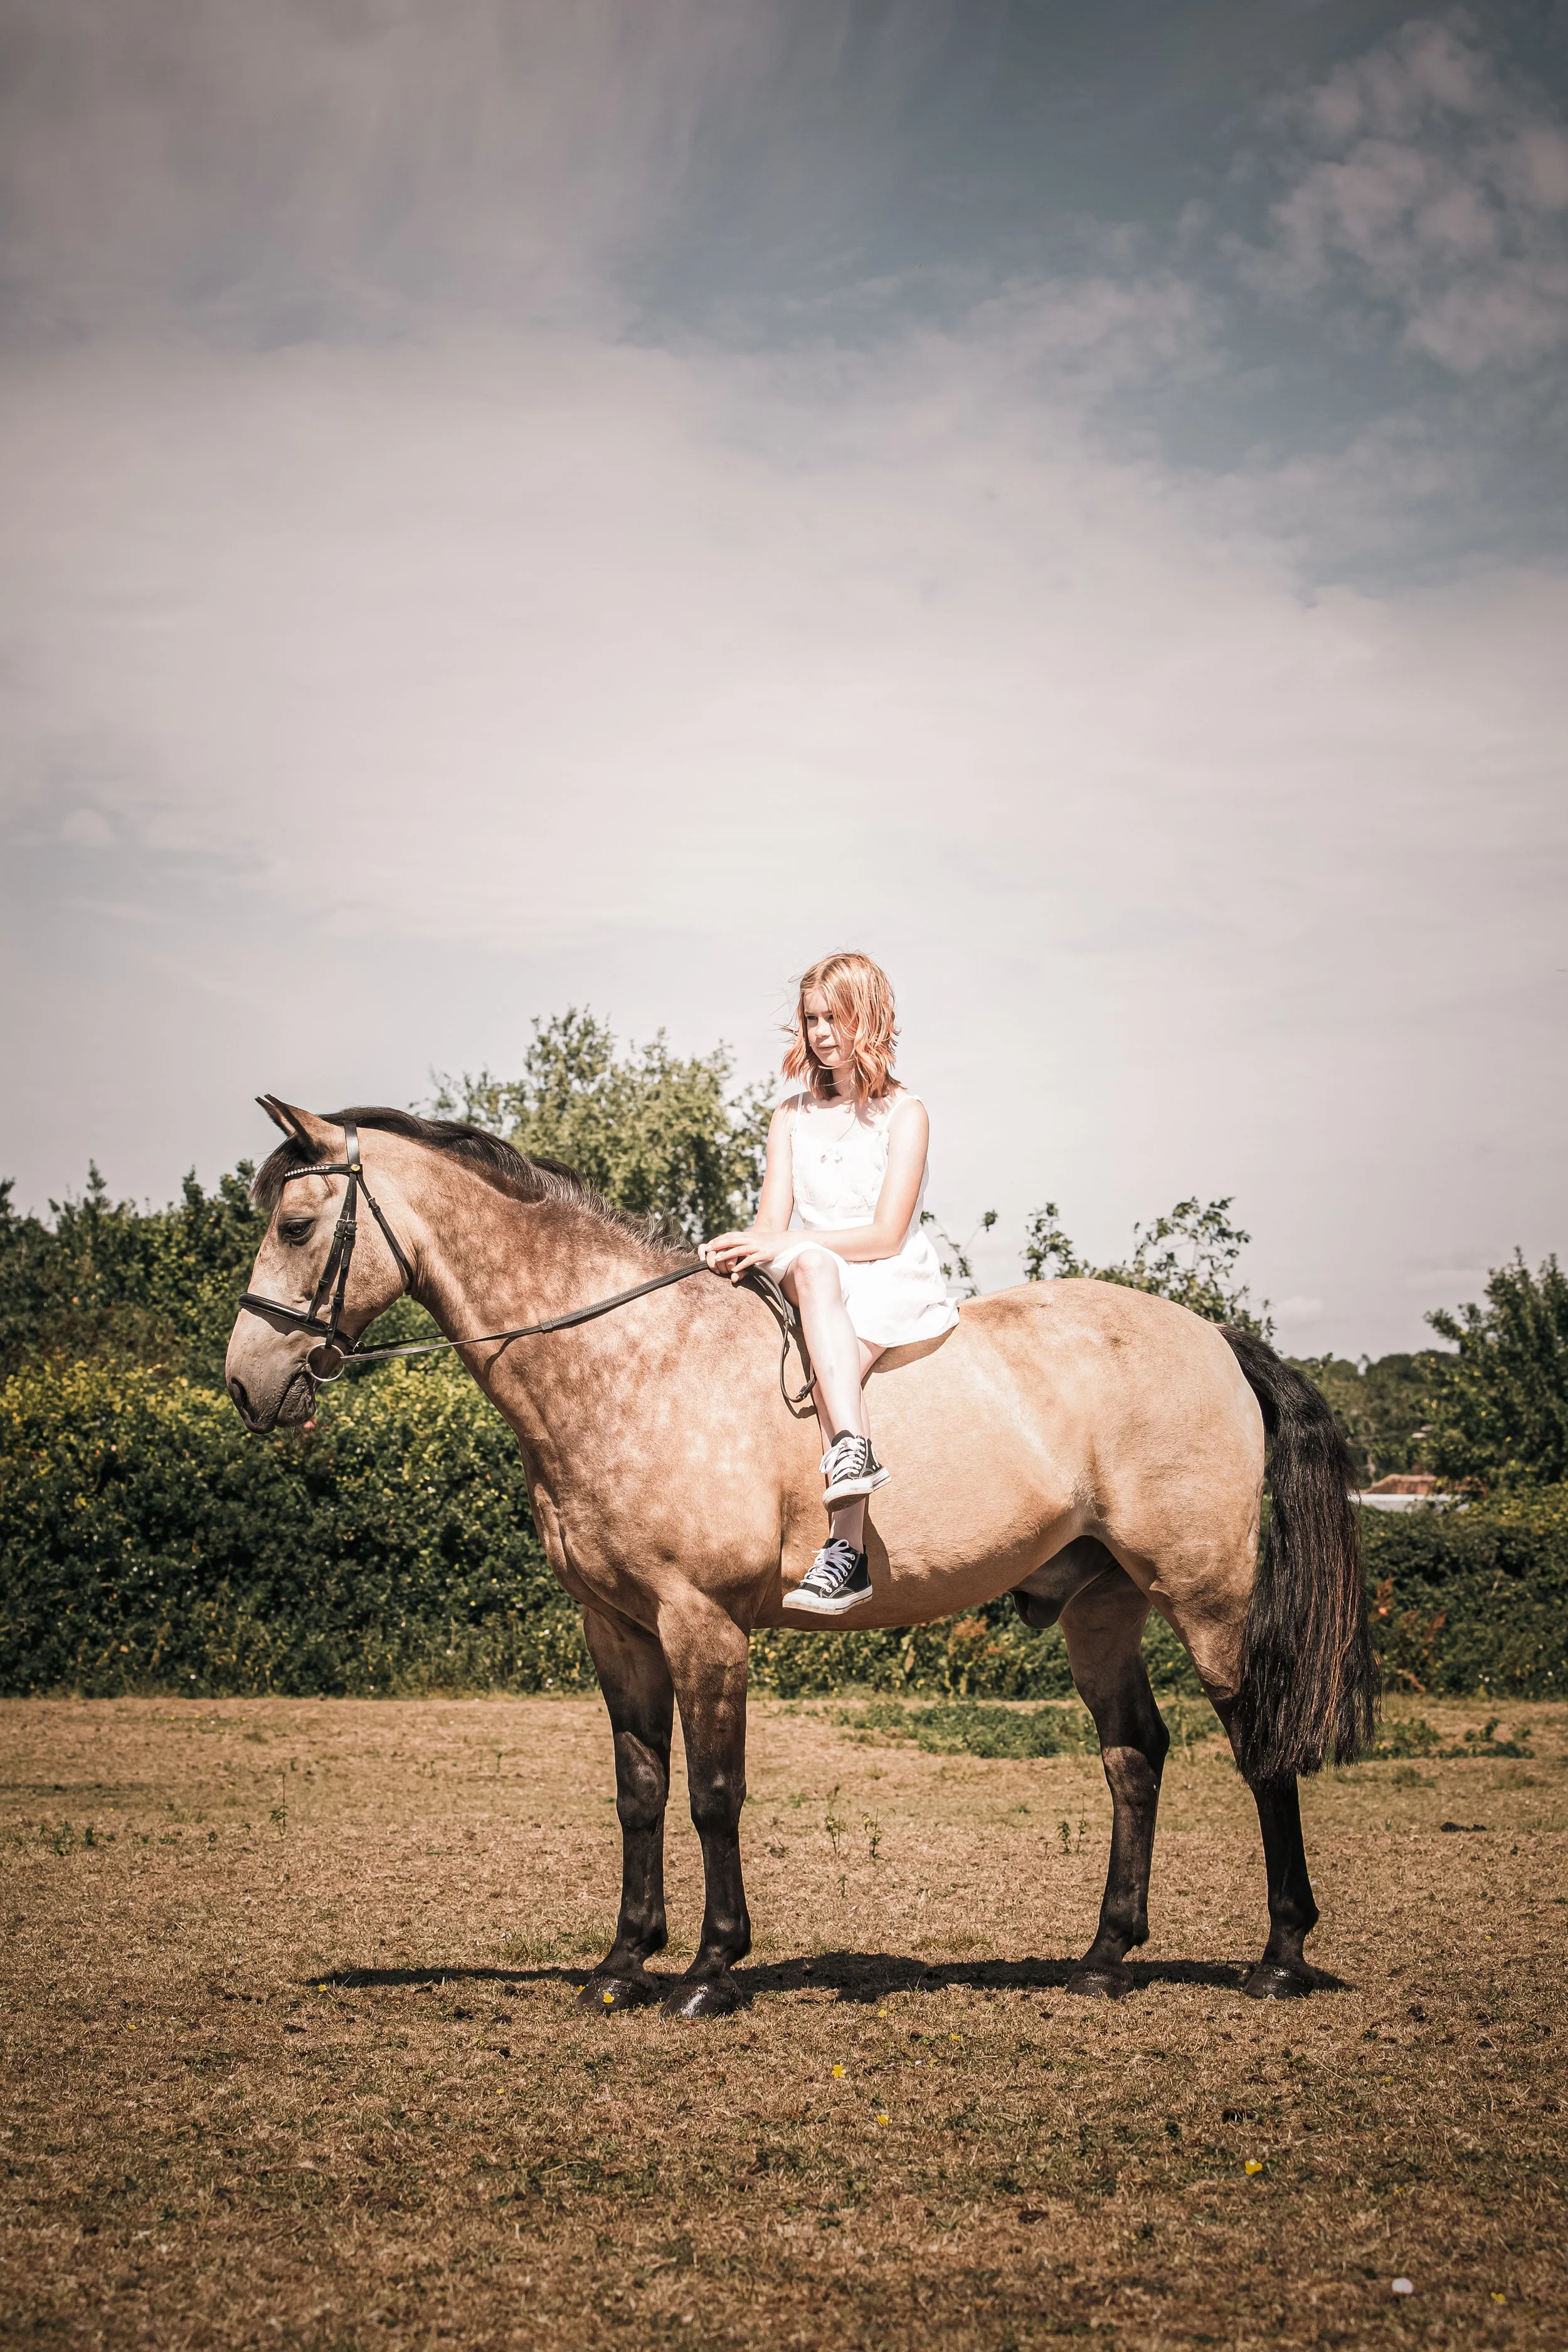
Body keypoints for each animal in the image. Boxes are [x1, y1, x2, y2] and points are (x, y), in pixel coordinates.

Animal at [225, 1099, 1375, 2018]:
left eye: (295, 1224)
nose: (246, 1384)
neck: (629, 1359)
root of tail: (1218, 1339)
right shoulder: (617, 1627)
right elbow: (639, 1791)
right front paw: (619, 1967)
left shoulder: (701, 1622)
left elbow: (712, 1793)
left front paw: (707, 1972)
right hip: (1103, 1606)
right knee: (1134, 1754)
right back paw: (1102, 1960)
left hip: (1205, 1595)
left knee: (1260, 1747)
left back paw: (1279, 1959)